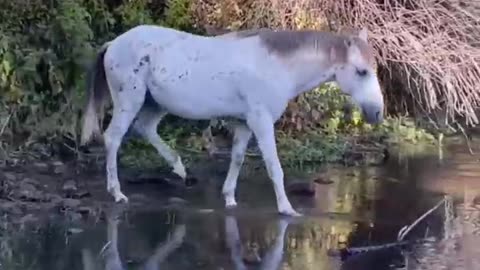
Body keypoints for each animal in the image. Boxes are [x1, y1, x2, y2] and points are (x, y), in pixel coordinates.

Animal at [80, 24, 384, 216]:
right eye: (361, 71)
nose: (378, 112)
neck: (278, 66)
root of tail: (113, 44)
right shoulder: (261, 121)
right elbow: (274, 166)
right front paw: (287, 209)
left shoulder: (244, 123)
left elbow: (236, 159)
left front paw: (229, 198)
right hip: (129, 101)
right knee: (113, 138)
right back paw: (117, 193)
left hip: (155, 104)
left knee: (146, 128)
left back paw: (180, 169)